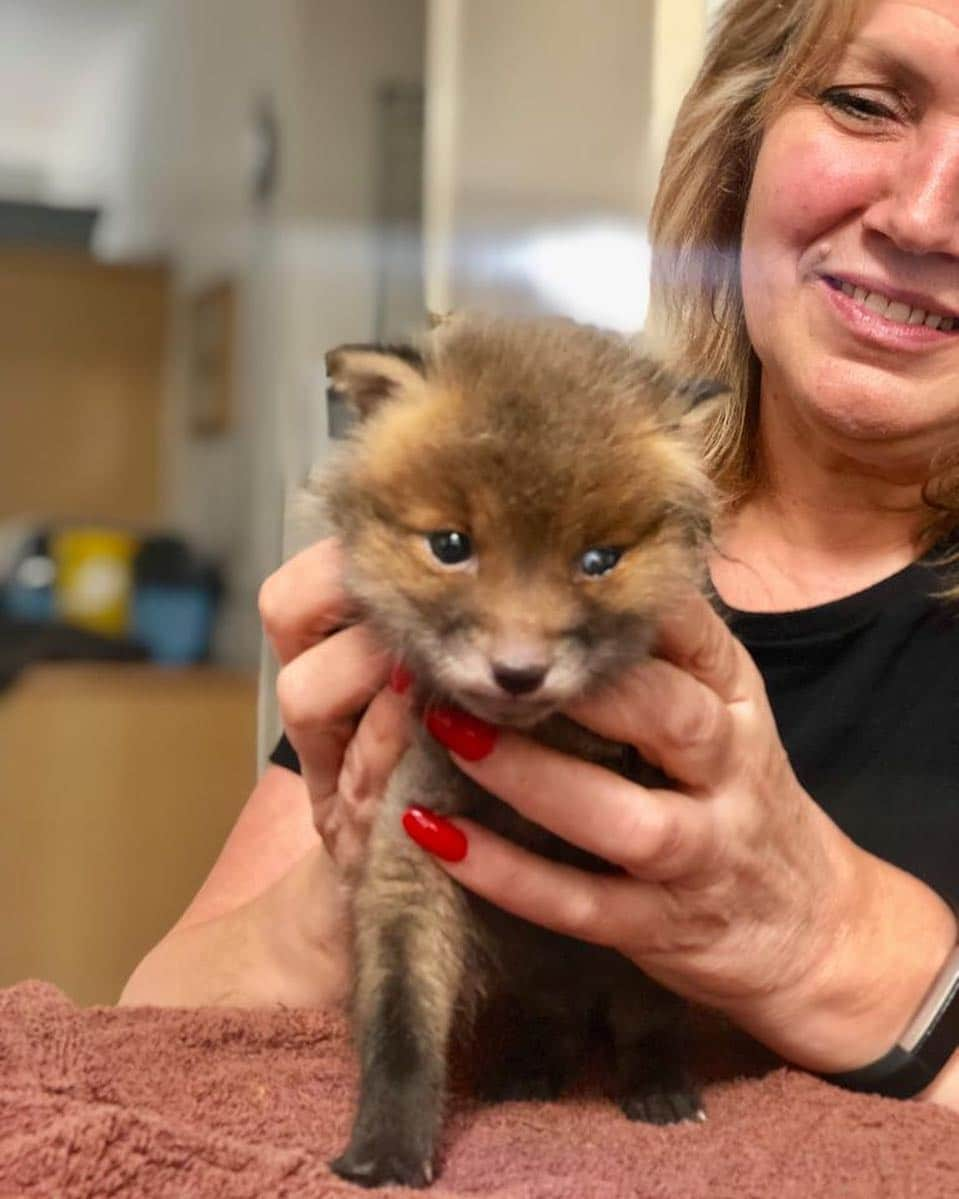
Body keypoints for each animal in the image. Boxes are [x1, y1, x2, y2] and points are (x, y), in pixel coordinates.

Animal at [321, 314, 719, 1184]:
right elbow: (400, 1027)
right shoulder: (412, 848)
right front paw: (386, 1147)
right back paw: (531, 1071)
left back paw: (657, 1087)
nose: (517, 671)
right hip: (541, 976)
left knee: (641, 1025)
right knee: (555, 1024)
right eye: (449, 544)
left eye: (599, 560)